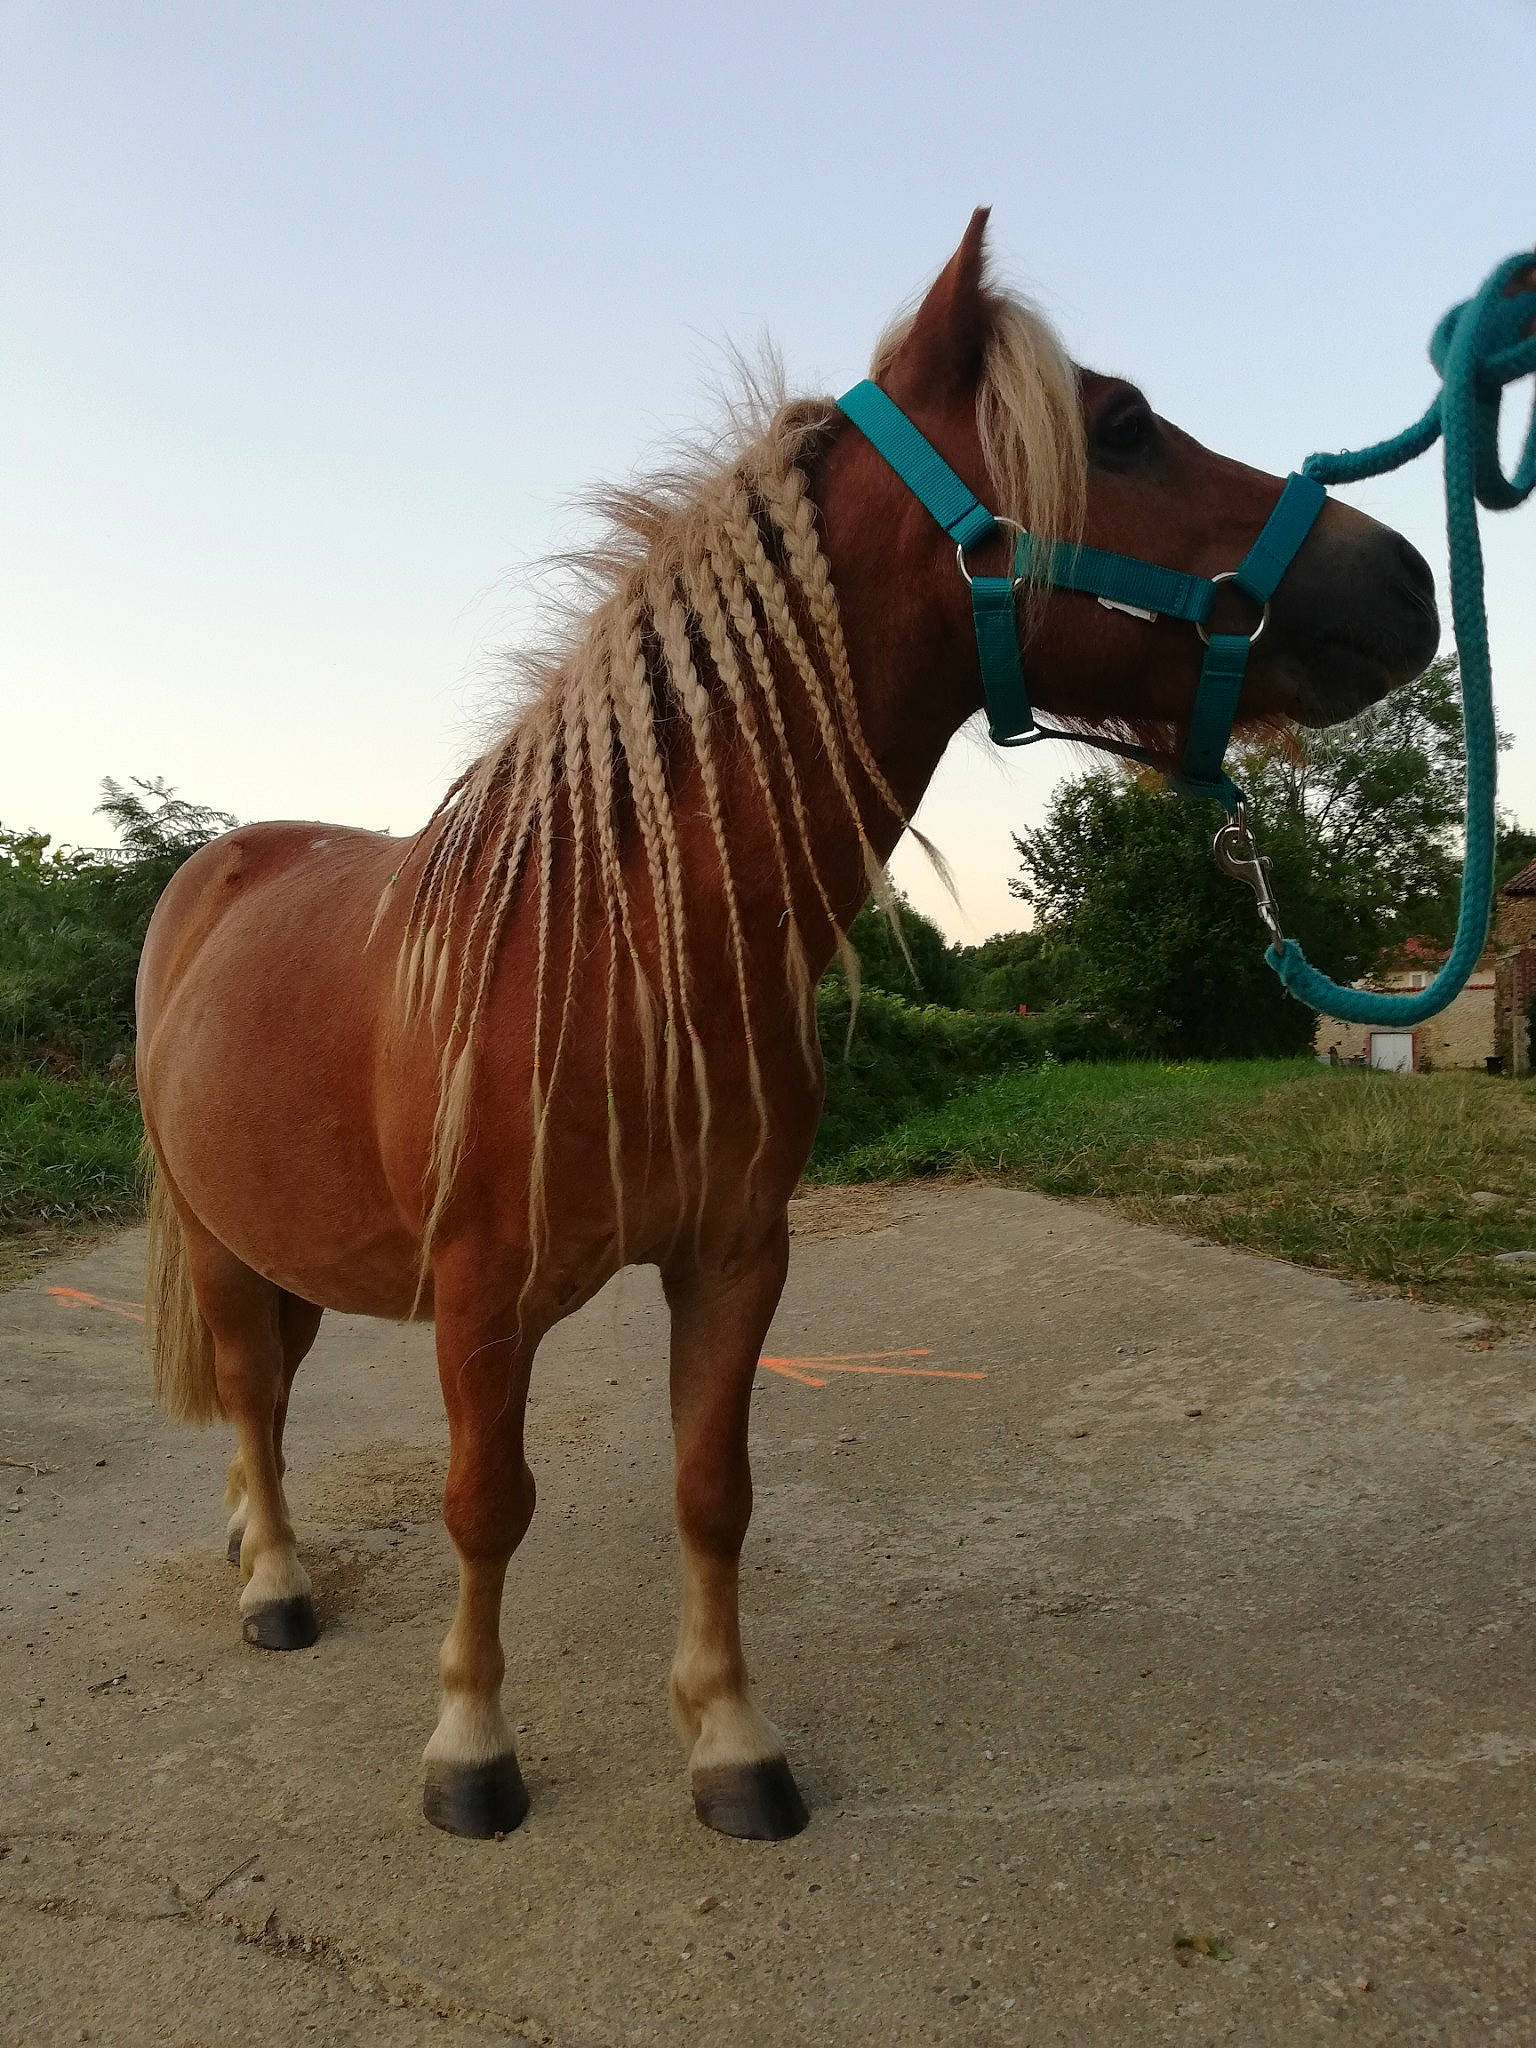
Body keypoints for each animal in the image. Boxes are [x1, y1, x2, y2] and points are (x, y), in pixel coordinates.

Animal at [135, 210, 1439, 1842]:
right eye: (1124, 424)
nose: (1408, 581)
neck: (615, 948)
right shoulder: (484, 1292)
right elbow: (485, 1507)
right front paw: (471, 1751)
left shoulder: (735, 1257)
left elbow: (714, 1492)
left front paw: (731, 1745)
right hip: (216, 1233)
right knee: (253, 1393)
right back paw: (275, 1585)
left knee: (275, 1390)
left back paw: (252, 1543)